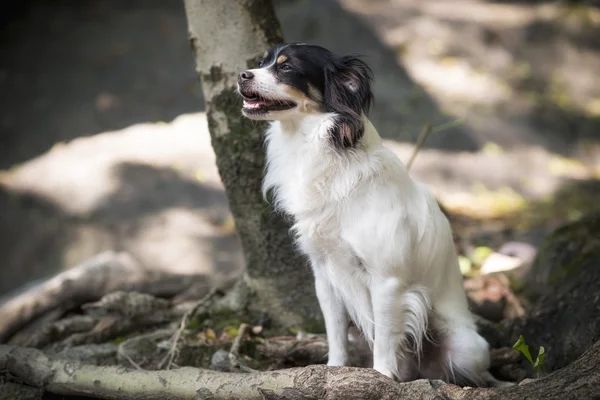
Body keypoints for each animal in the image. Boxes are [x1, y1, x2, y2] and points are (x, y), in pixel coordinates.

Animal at [237, 43, 512, 388]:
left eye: (286, 68)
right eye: (261, 63)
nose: (241, 75)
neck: (321, 147)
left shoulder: (386, 281)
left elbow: (385, 336)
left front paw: (380, 375)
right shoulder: (325, 277)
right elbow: (335, 333)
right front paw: (334, 368)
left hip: (465, 348)